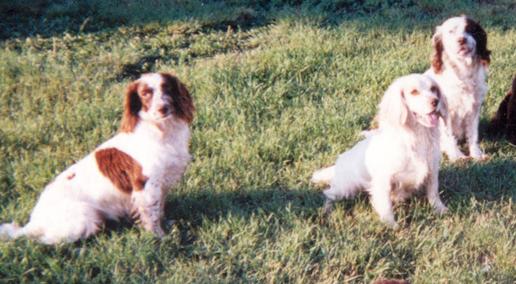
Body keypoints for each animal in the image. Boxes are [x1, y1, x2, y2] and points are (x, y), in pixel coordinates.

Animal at [312, 74, 450, 229]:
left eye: (433, 89)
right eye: (414, 92)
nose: (435, 101)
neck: (417, 138)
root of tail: (338, 164)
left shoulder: (432, 169)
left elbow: (433, 192)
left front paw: (440, 209)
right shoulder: (383, 179)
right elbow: (385, 206)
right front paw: (392, 226)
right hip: (346, 187)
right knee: (328, 194)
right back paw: (327, 211)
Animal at [424, 15, 492, 161]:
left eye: (469, 29)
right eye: (451, 32)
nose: (462, 40)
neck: (464, 73)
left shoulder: (474, 109)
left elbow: (473, 134)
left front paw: (476, 154)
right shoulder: (444, 111)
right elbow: (449, 136)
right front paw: (457, 156)